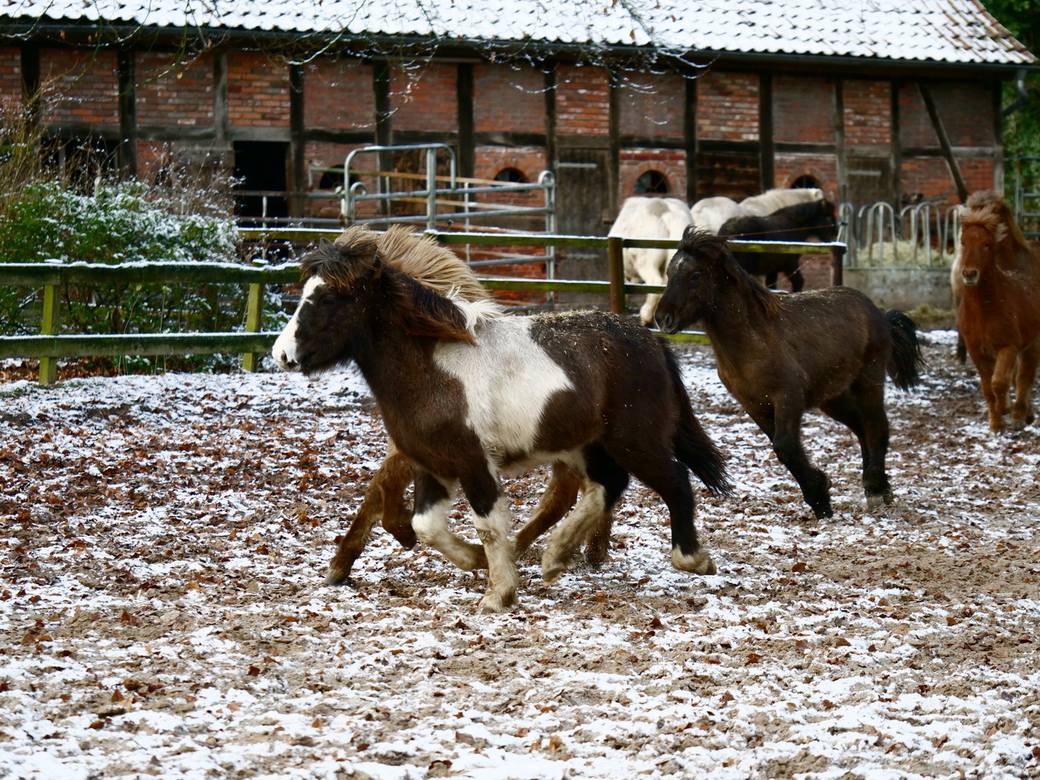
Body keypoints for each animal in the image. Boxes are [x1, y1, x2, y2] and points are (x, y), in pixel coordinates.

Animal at [276, 225, 732, 611]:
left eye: (328, 299)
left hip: (634, 441)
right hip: (591, 446)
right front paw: (478, 561)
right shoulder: (433, 464)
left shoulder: (475, 463)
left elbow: (488, 525)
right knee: (608, 485)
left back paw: (692, 559)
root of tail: (652, 342)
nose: (282, 355)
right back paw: (556, 556)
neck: (434, 369)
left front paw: (498, 594)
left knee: (674, 482)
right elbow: (426, 526)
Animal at [653, 228, 923, 522]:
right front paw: (820, 496)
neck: (756, 340)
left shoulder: (787, 396)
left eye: (695, 275)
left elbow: (785, 446)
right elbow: (782, 448)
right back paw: (877, 487)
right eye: (669, 273)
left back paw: (876, 490)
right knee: (862, 428)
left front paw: (820, 496)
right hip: (833, 398)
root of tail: (878, 314)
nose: (662, 318)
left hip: (868, 382)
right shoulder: (753, 404)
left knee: (877, 427)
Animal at [952, 191, 1040, 434]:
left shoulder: (1008, 346)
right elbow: (987, 386)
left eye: (987, 244)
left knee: (1024, 377)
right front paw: (996, 423)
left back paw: (1019, 415)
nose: (969, 273)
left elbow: (1000, 381)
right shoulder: (977, 351)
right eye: (963, 242)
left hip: (1032, 344)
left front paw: (1006, 410)